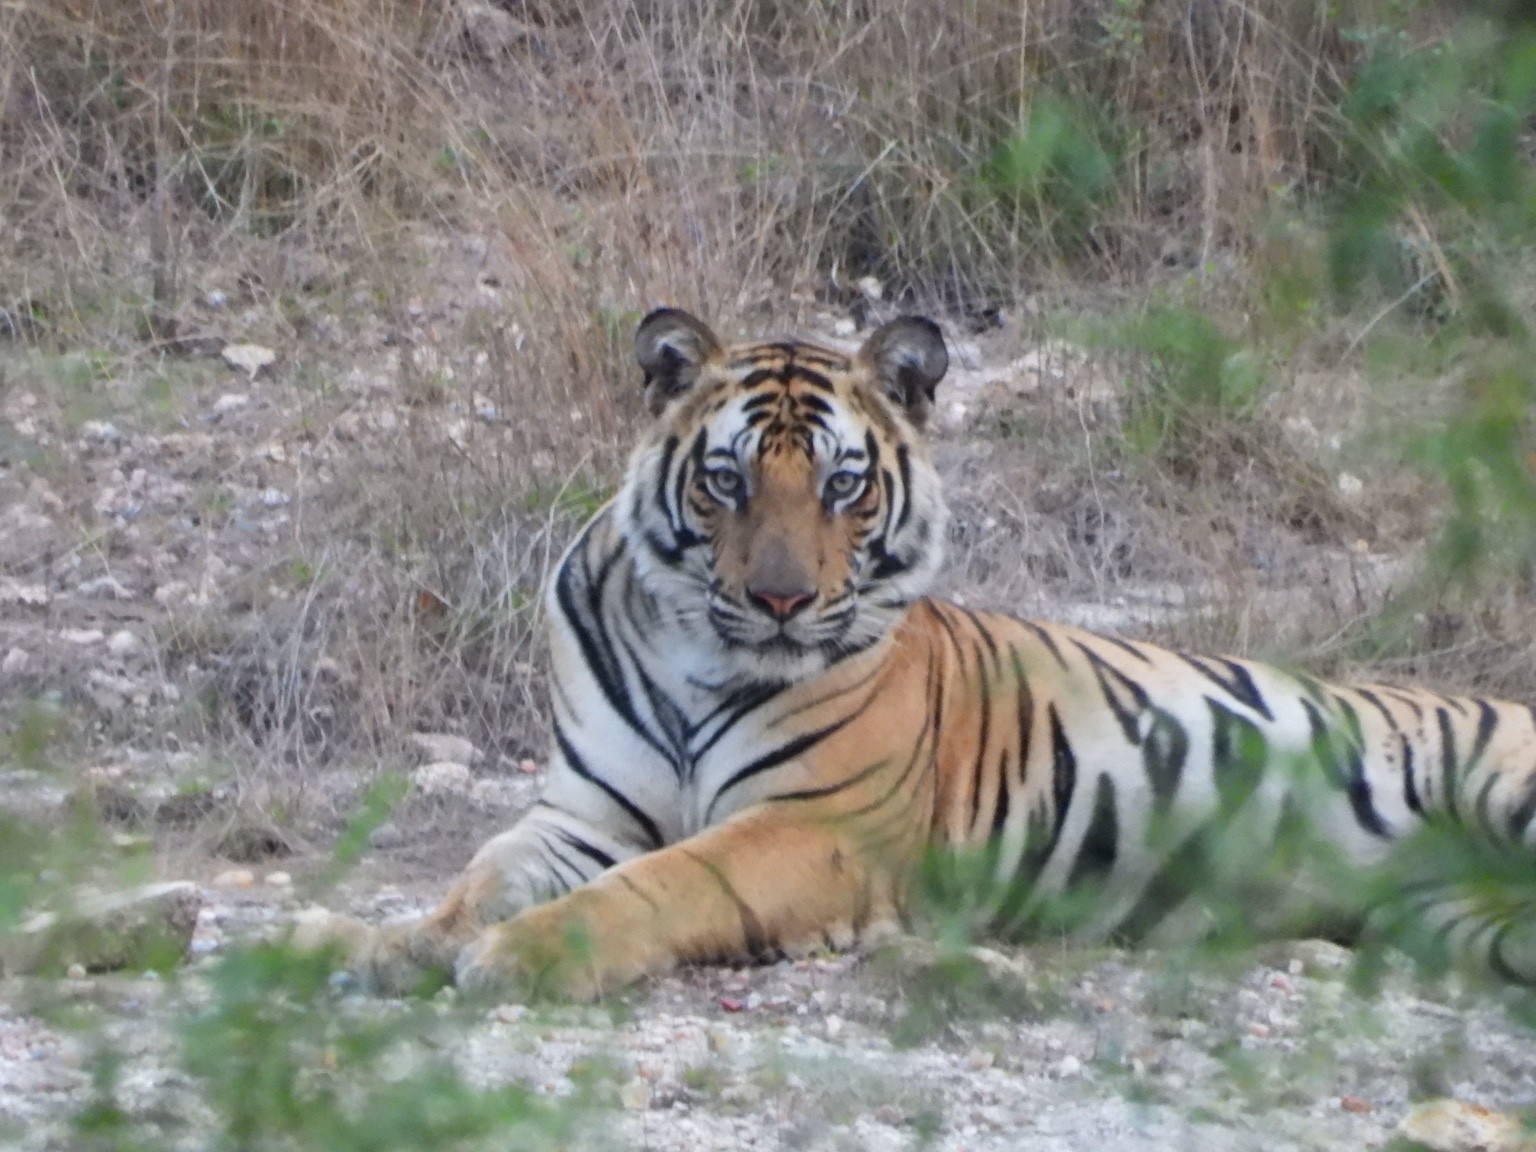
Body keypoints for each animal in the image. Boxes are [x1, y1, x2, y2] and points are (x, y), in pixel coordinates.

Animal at [295, 307, 1536, 998]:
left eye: (843, 485)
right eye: (727, 479)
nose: (782, 599)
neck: (696, 650)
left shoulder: (814, 828)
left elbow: (659, 884)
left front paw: (520, 959)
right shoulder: (584, 816)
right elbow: (478, 880)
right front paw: (383, 943)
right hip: (1465, 927)